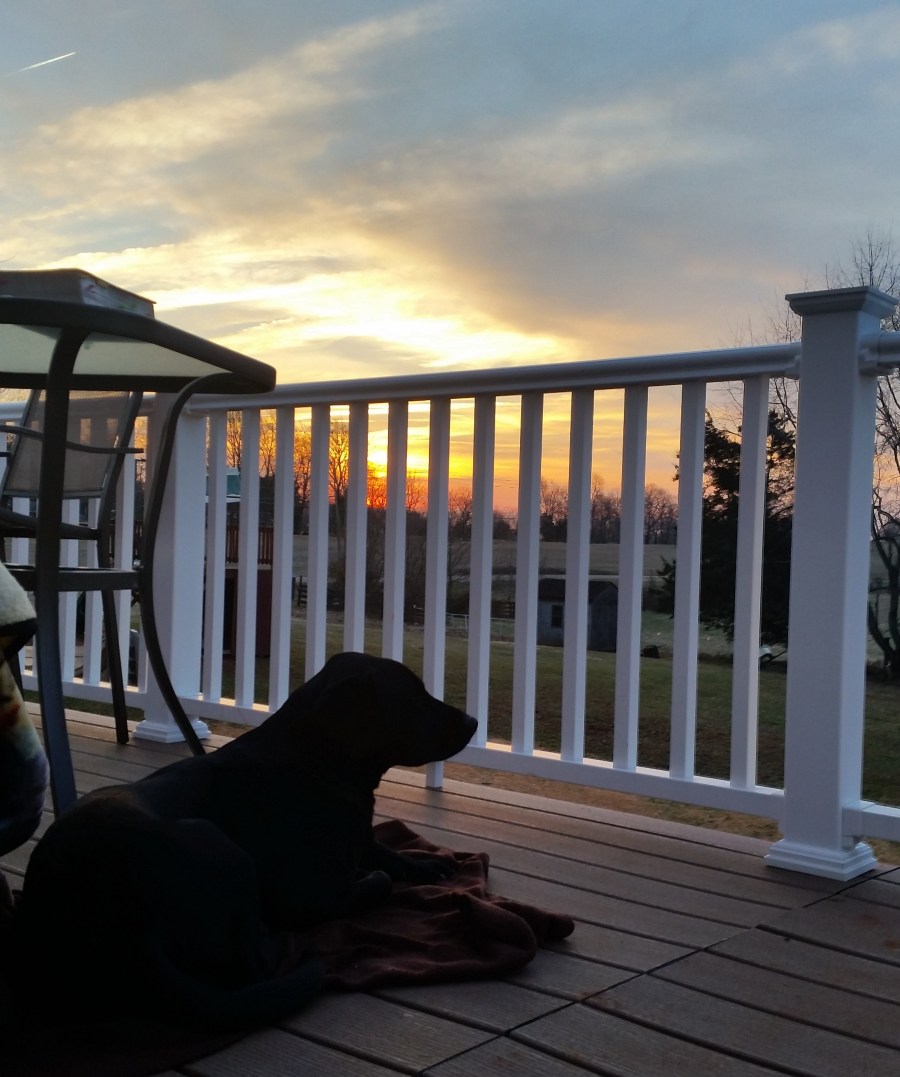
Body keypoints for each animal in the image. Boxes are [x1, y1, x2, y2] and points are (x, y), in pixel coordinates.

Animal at [18, 652, 477, 1029]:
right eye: (413, 696)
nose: (474, 723)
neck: (316, 761)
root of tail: (130, 922)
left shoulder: (361, 837)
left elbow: (388, 851)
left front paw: (429, 865)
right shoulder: (307, 894)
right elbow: (378, 877)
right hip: (218, 845)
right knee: (251, 967)